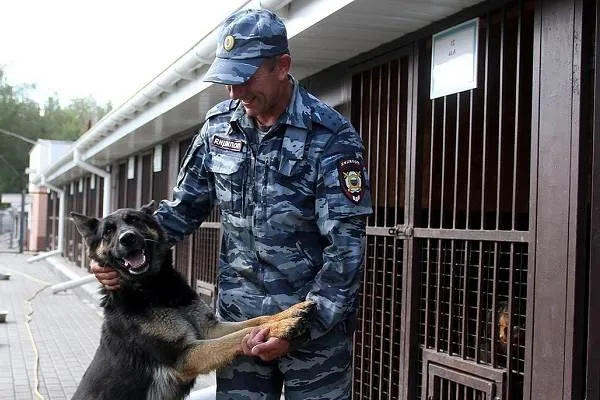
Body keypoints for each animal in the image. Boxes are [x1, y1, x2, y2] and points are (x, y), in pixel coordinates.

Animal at [69, 203, 314, 400]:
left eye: (134, 220)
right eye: (108, 231)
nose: (127, 238)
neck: (155, 290)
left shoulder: (209, 330)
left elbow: (256, 320)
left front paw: (290, 312)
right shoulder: (187, 355)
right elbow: (240, 335)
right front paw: (284, 325)